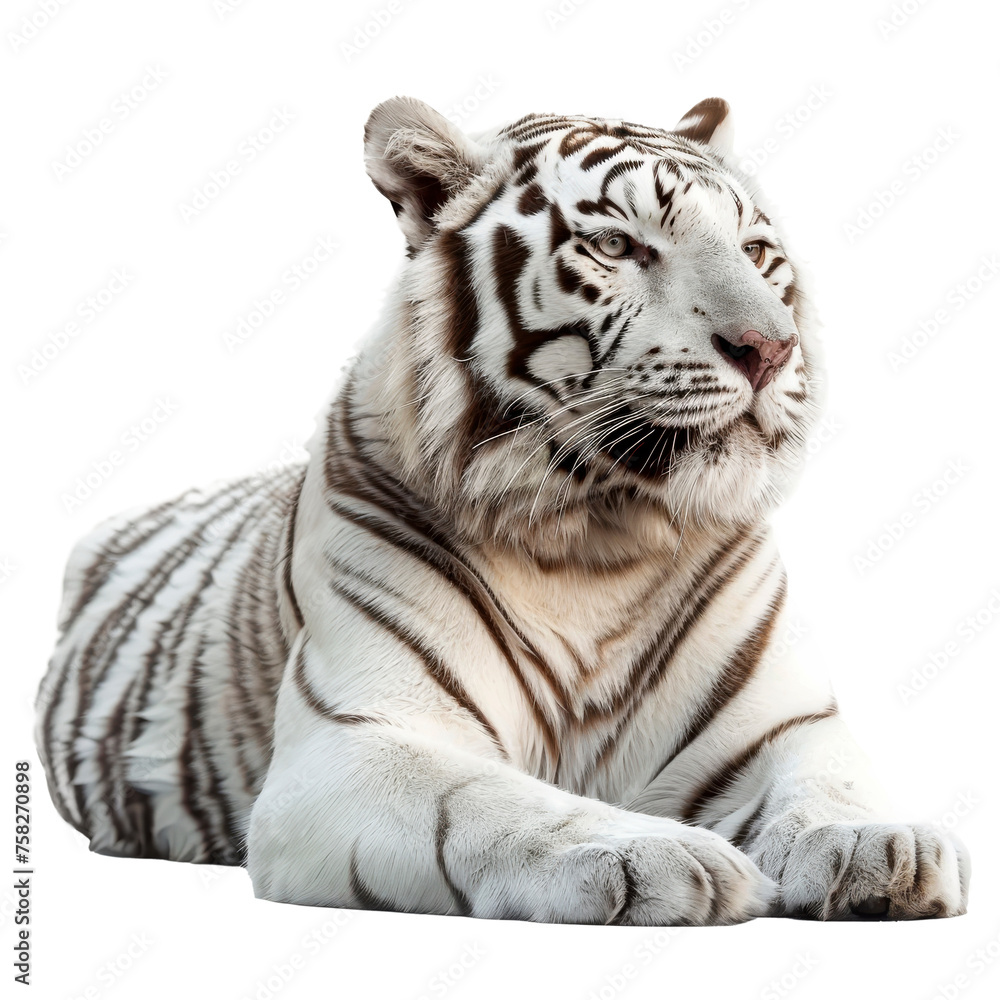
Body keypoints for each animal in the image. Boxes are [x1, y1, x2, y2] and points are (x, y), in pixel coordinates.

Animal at [35, 95, 970, 924]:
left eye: (755, 250)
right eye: (615, 245)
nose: (771, 349)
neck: (596, 538)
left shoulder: (778, 727)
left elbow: (832, 784)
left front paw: (884, 845)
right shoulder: (357, 741)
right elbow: (491, 802)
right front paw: (661, 854)